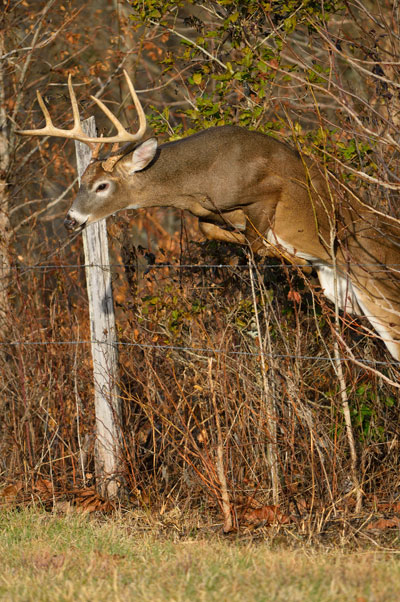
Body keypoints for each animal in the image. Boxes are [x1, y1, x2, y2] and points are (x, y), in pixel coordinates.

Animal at [18, 70, 400, 360]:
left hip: (384, 298)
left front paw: (295, 259)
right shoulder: (207, 213)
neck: (198, 182)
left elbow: (257, 242)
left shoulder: (267, 190)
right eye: (81, 181)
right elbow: (210, 228)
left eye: (102, 186)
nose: (71, 219)